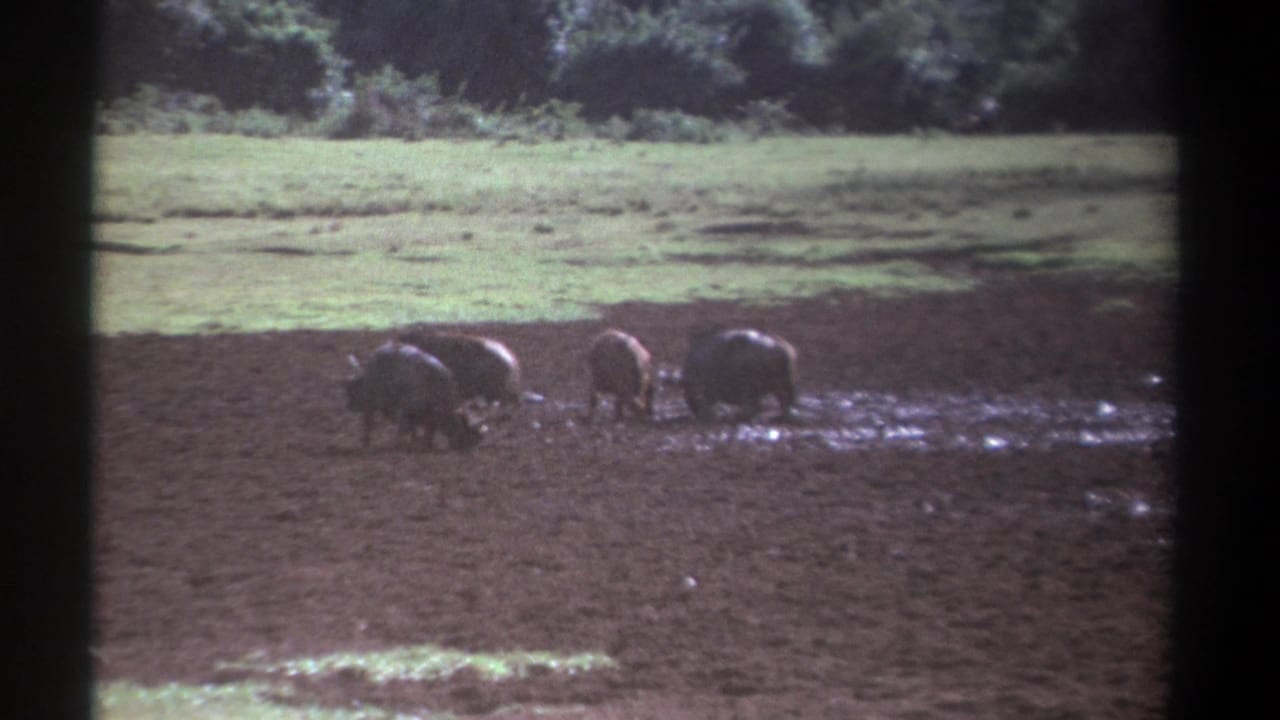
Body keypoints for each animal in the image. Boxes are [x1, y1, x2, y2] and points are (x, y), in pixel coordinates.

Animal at [345, 341, 483, 450]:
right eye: (465, 433)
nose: (465, 448)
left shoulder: (426, 415)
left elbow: (426, 430)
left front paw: (426, 444)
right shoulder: (407, 408)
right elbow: (404, 428)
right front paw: (401, 444)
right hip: (371, 403)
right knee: (368, 422)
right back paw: (366, 442)